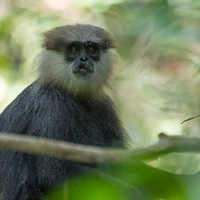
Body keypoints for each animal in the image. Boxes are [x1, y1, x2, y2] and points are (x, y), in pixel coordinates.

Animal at [0, 23, 129, 200]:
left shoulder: (104, 106)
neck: (72, 95)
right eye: (74, 49)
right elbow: (52, 174)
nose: (83, 59)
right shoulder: (51, 108)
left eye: (91, 49)